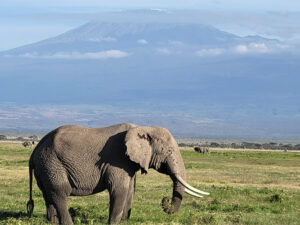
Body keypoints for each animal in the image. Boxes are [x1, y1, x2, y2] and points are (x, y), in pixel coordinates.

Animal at [27, 124, 209, 224]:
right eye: (169, 151)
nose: (165, 199)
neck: (143, 127)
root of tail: (35, 150)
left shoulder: (129, 164)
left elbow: (130, 191)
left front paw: (125, 221)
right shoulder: (118, 160)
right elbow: (119, 189)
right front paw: (114, 222)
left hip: (46, 167)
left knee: (49, 195)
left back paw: (51, 222)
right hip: (52, 164)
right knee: (60, 193)